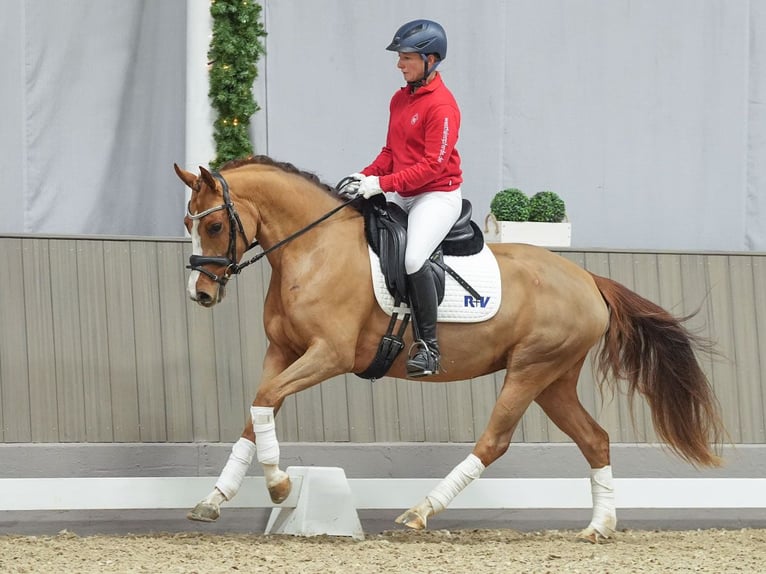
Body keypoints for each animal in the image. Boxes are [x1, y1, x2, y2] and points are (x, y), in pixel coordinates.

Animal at [174, 155, 728, 544]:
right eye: (188, 224)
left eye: (215, 225)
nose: (200, 295)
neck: (313, 249)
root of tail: (588, 279)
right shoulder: (283, 352)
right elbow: (257, 410)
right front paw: (215, 499)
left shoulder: (329, 355)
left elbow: (265, 402)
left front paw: (280, 486)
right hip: (554, 380)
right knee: (595, 440)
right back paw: (599, 526)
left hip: (530, 370)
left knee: (495, 441)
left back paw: (421, 511)